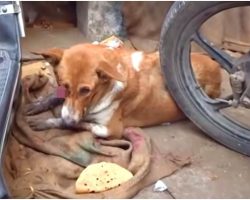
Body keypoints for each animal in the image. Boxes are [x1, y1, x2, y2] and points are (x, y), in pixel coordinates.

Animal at [24, 42, 221, 139]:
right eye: (63, 85)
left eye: (86, 90)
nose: (68, 119)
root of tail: (216, 65)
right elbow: (56, 97)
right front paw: (40, 104)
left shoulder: (111, 130)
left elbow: (81, 123)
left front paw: (50, 122)